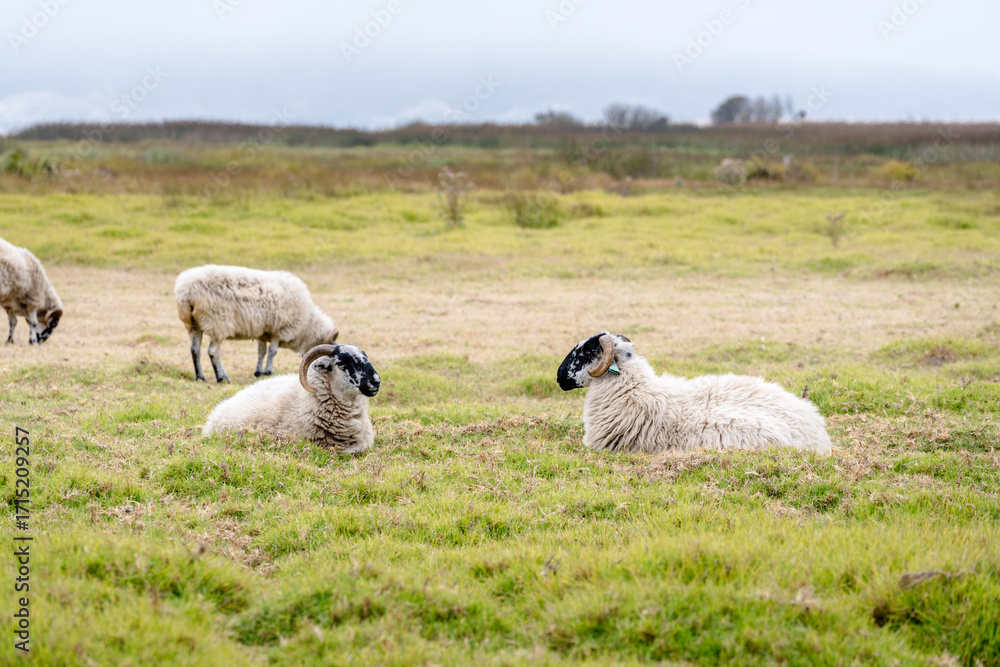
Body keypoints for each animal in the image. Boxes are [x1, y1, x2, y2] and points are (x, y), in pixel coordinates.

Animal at [175, 265, 339, 382]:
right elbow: (272, 352)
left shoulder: (263, 332)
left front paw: (259, 372)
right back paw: (222, 377)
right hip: (217, 323)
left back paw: (200, 377)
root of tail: (186, 292)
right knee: (213, 352)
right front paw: (269, 371)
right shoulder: (279, 330)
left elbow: (261, 352)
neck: (307, 324)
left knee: (195, 350)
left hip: (193, 325)